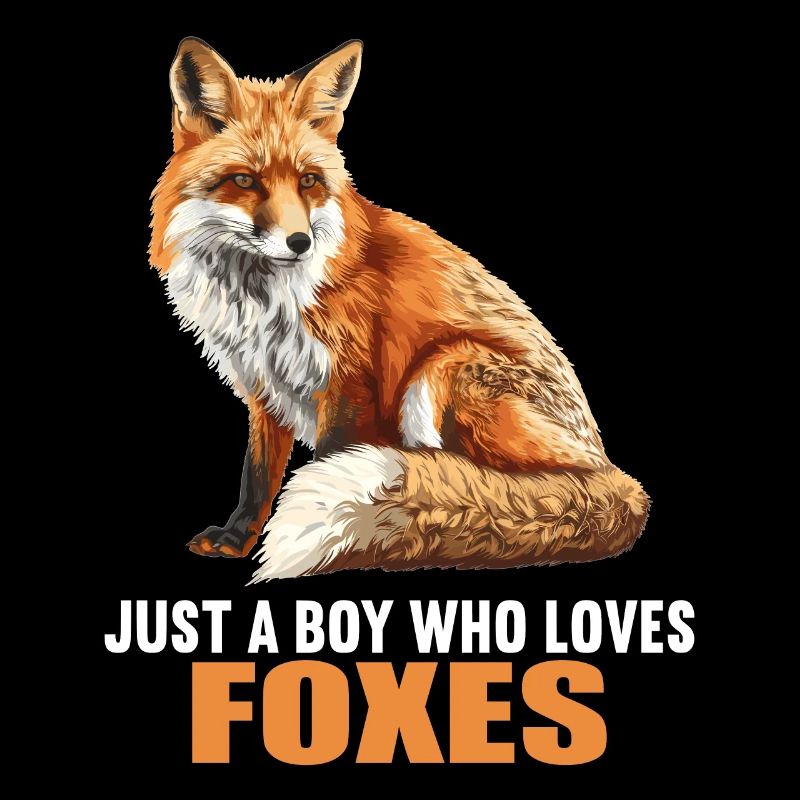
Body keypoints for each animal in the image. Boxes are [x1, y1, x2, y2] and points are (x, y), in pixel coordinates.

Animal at [149, 38, 649, 582]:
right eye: (244, 180)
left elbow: (326, 461)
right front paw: (238, 539)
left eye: (308, 181)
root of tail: (611, 469)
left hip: (442, 370)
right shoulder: (265, 386)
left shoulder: (348, 384)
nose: (300, 243)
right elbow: (257, 477)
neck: (261, 298)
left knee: (477, 481)